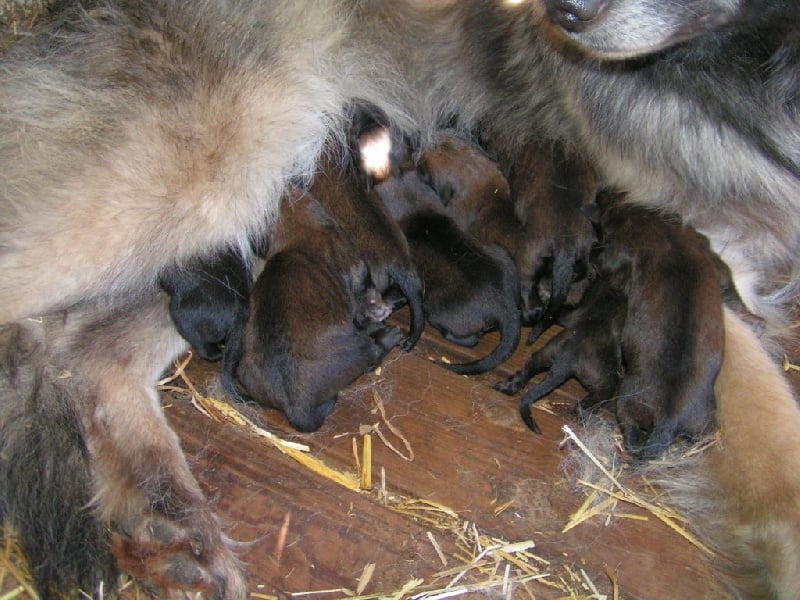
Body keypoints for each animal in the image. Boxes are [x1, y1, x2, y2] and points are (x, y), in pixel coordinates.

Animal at [234, 190, 404, 434]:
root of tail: (296, 406)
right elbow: (364, 308)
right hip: (358, 349)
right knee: (373, 354)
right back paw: (389, 336)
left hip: (245, 370)